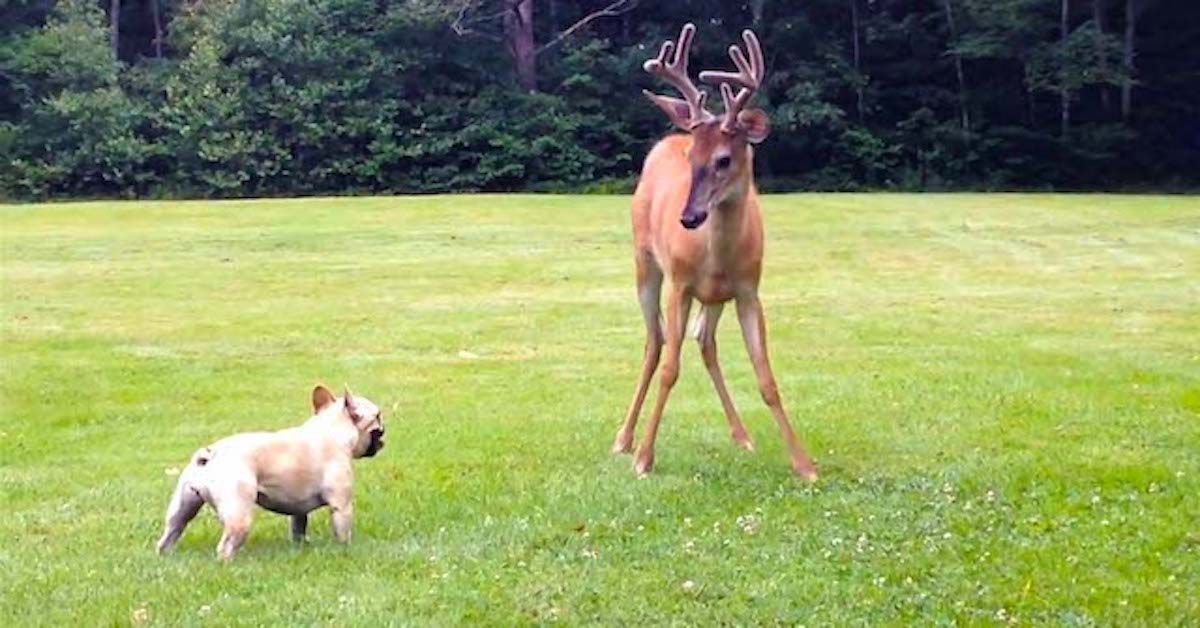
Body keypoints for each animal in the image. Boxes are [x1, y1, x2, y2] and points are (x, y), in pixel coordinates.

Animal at [614, 22, 820, 480]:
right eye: (693, 157)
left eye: (724, 159)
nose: (688, 217)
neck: (716, 254)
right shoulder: (680, 284)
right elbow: (670, 369)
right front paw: (644, 458)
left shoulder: (748, 290)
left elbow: (766, 377)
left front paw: (804, 463)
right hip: (644, 261)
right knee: (655, 342)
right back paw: (623, 439)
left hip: (715, 298)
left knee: (704, 342)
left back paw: (741, 435)